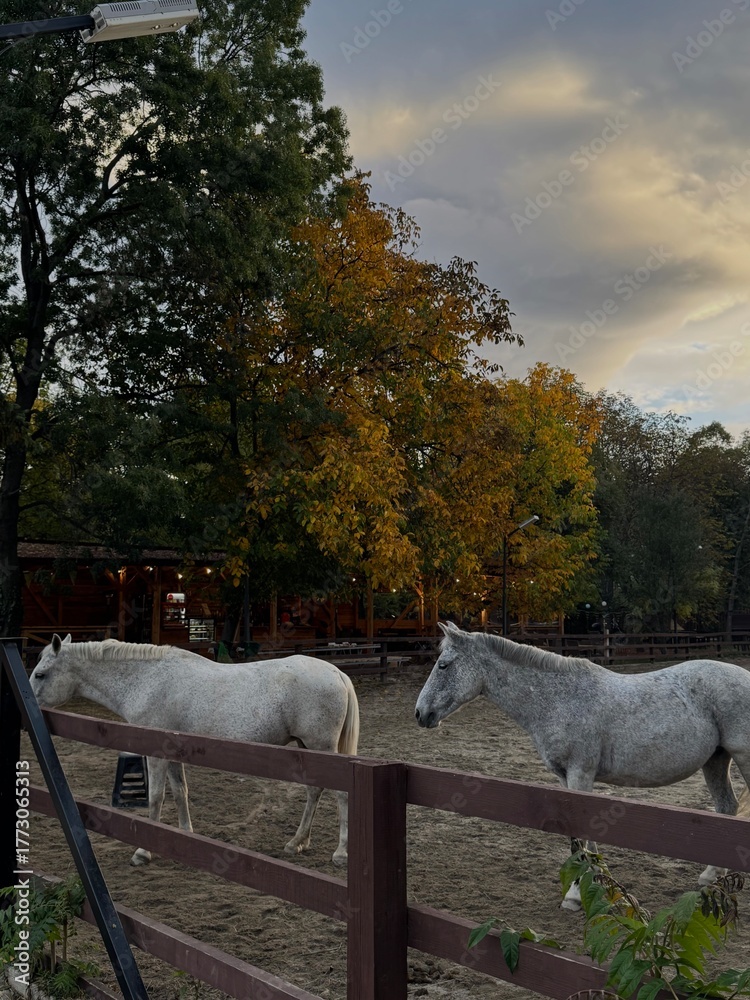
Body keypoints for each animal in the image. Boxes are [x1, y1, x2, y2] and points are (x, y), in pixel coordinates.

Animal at [30, 634, 360, 867]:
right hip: (308, 750)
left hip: (322, 748)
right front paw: (185, 835)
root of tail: (337, 674)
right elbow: (180, 792)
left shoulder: (156, 754)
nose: (26, 709)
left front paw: (143, 851)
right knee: (314, 791)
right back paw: (297, 842)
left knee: (341, 795)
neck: (146, 680)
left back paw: (341, 852)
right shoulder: (174, 753)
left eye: (41, 674)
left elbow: (156, 798)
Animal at [415, 621, 750, 909]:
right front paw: (598, 884)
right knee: (726, 808)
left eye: (444, 665)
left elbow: (582, 834)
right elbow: (579, 838)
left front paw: (576, 895)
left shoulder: (580, 774)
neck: (559, 698)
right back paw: (711, 876)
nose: (420, 713)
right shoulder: (565, 778)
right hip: (715, 761)